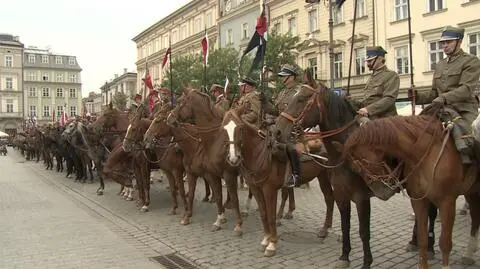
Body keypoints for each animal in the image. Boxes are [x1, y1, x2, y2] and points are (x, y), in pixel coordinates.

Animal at [144, 88, 246, 234]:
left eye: (157, 120)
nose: (146, 137)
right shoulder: (193, 173)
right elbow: (193, 194)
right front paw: (187, 216)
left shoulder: (225, 174)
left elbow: (231, 196)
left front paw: (235, 223)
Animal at [221, 110, 334, 256]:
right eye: (223, 129)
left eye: (239, 128)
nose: (233, 158)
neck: (260, 154)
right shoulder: (256, 188)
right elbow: (264, 214)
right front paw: (265, 240)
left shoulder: (269, 190)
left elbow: (271, 216)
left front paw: (272, 244)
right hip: (321, 176)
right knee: (329, 198)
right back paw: (324, 229)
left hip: (327, 175)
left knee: (330, 198)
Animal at [342, 112, 480, 266]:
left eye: (360, 164)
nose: (381, 192)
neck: (426, 153)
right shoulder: (419, 201)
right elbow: (422, 240)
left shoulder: (447, 202)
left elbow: (445, 243)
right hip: (472, 192)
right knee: (476, 217)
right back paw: (469, 254)